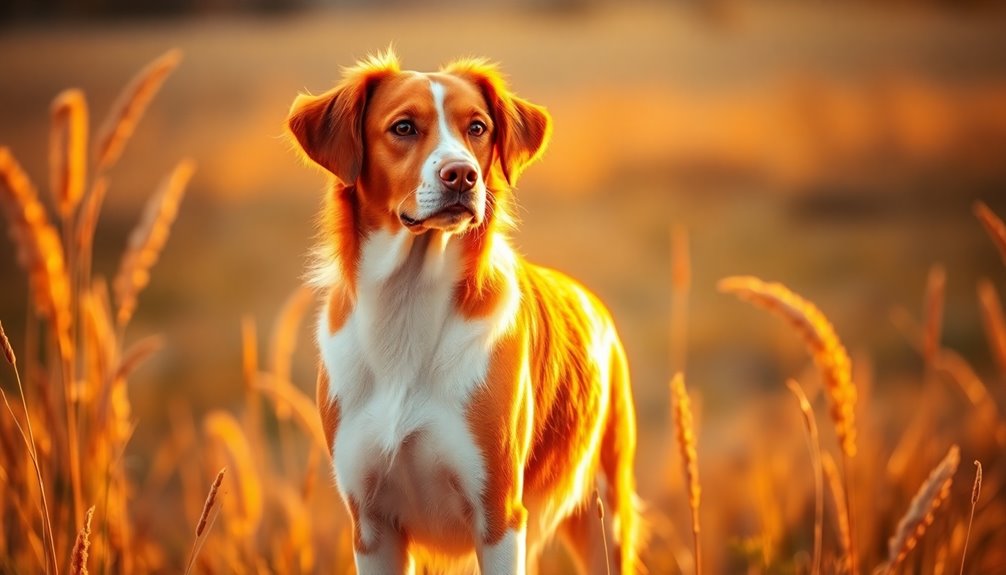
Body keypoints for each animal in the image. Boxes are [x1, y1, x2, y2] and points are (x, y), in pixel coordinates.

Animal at [287, 50, 639, 575]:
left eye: (477, 127)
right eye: (404, 127)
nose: (462, 175)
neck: (408, 303)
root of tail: (588, 297)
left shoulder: (499, 516)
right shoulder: (371, 525)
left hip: (605, 519)